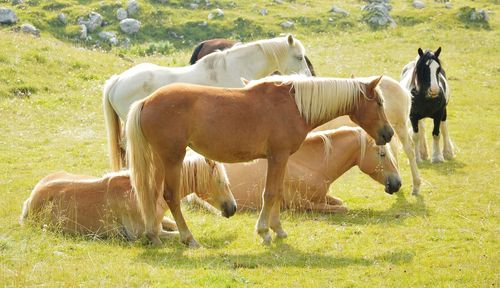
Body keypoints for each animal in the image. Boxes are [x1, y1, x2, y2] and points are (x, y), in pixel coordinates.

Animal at [193, 127, 400, 213]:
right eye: (382, 154)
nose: (398, 183)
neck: (306, 165)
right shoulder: (301, 204)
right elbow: (342, 208)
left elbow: (339, 201)